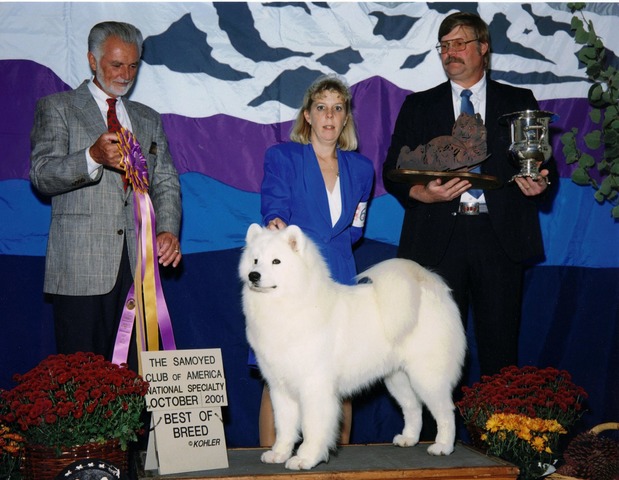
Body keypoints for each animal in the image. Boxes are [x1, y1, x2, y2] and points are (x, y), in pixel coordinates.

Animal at [240, 224, 468, 468]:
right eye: (255, 260)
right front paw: (280, 454)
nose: (253, 275)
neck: (290, 305)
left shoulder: (314, 386)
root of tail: (428, 288)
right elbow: (284, 427)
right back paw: (408, 439)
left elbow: (312, 427)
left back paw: (443, 446)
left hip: (427, 376)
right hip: (398, 379)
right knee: (412, 407)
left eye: (276, 261)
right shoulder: (280, 387)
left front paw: (305, 458)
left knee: (445, 411)